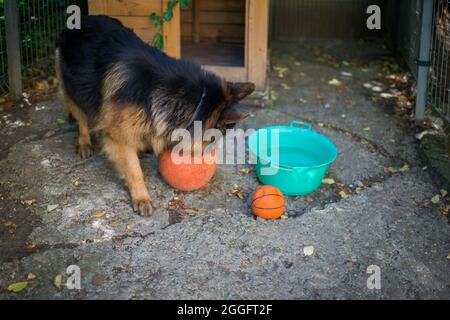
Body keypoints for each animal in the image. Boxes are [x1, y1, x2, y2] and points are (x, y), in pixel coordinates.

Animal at [55, 15, 253, 215]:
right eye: (215, 138)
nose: (207, 157)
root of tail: (82, 19)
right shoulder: (119, 138)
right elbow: (134, 171)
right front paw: (141, 197)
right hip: (74, 90)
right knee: (81, 117)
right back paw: (84, 142)